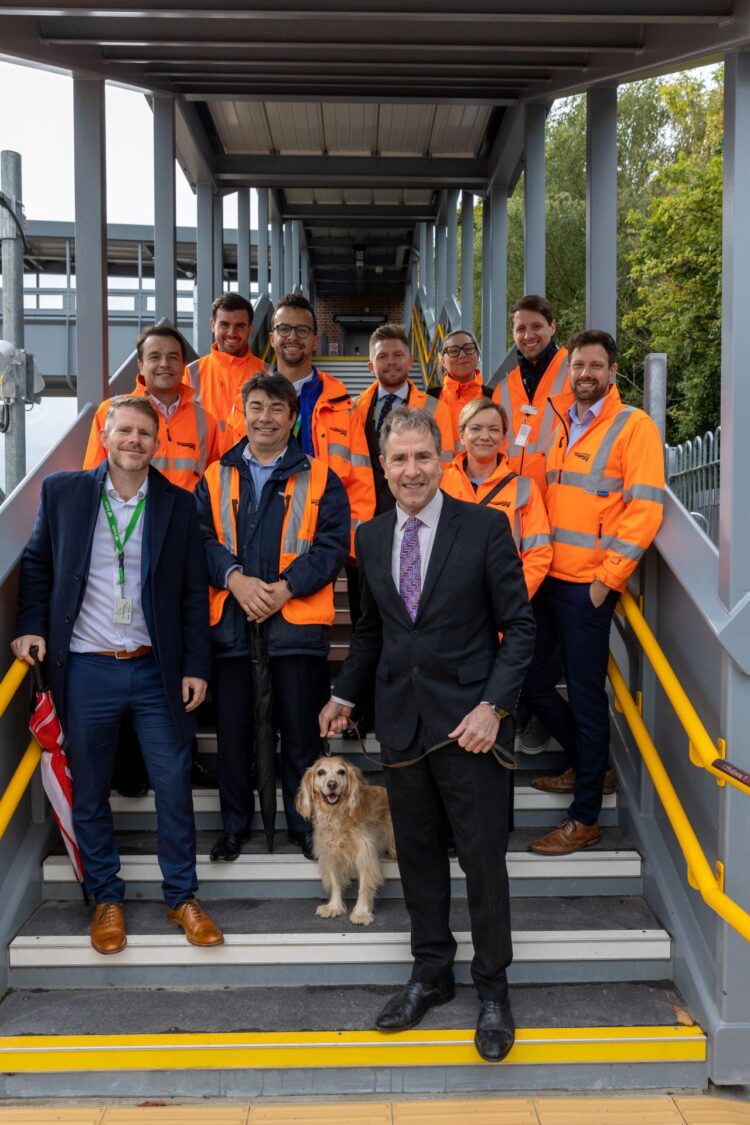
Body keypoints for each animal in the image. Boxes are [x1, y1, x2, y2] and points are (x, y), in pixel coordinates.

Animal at [294, 756, 395, 922]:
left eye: (341, 772)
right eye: (321, 772)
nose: (332, 784)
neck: (337, 816)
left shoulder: (365, 854)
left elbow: (364, 886)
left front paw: (361, 912)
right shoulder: (330, 854)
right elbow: (335, 883)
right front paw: (334, 907)